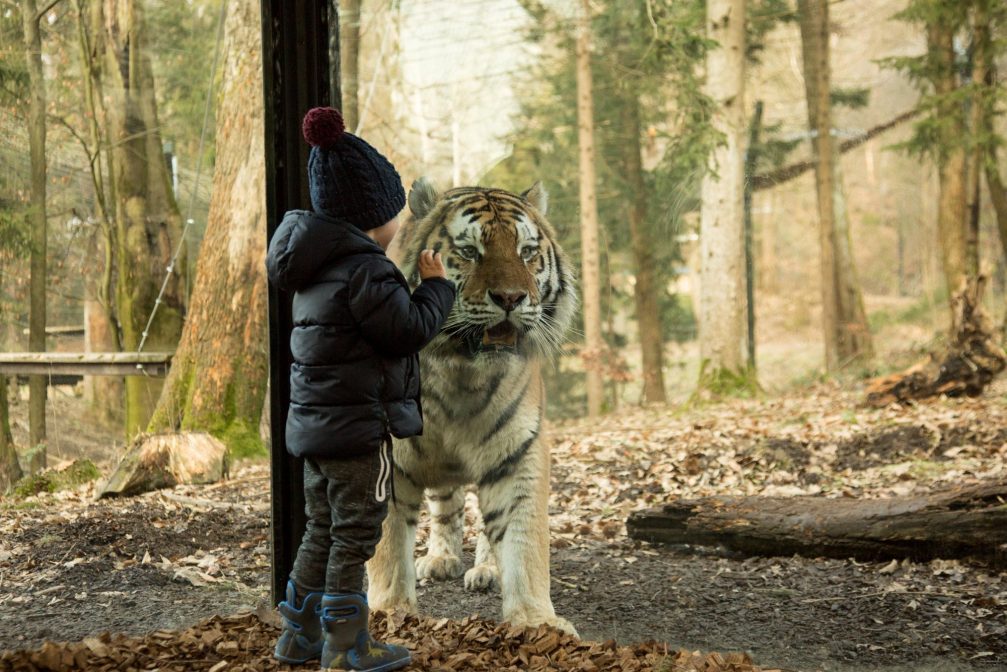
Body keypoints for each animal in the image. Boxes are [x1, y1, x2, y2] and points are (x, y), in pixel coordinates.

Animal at [366, 175, 580, 636]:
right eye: (468, 252)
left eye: (526, 252)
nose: (512, 298)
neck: (460, 373)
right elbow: (388, 543)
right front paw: (390, 611)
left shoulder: (517, 452)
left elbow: (523, 540)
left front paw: (537, 621)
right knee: (445, 506)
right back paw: (440, 559)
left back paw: (485, 570)